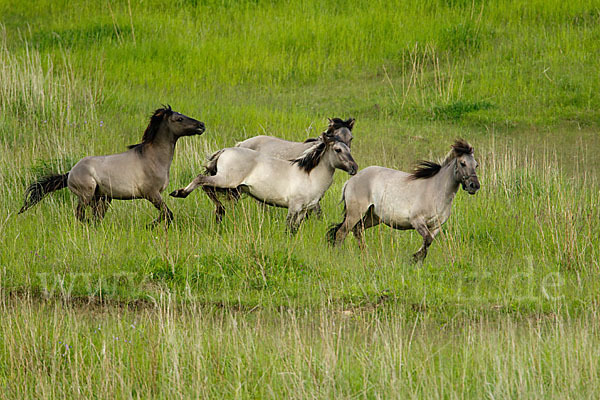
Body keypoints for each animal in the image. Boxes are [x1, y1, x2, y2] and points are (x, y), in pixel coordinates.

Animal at [18, 105, 206, 225]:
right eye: (179, 118)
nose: (202, 125)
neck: (153, 159)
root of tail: (70, 172)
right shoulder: (152, 194)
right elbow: (168, 214)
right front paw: (149, 226)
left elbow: (167, 214)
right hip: (86, 196)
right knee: (80, 215)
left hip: (102, 199)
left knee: (95, 217)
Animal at [169, 130, 356, 233]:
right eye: (338, 149)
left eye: (349, 147)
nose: (354, 167)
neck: (309, 176)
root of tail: (226, 150)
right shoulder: (294, 207)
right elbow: (288, 229)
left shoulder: (303, 211)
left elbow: (294, 230)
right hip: (226, 180)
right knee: (201, 179)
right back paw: (180, 193)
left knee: (206, 187)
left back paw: (219, 213)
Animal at [326, 139, 480, 260]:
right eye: (462, 163)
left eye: (476, 165)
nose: (474, 186)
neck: (436, 191)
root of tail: (350, 181)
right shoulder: (417, 221)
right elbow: (427, 240)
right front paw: (415, 259)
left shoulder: (436, 226)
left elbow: (427, 243)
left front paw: (417, 261)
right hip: (355, 213)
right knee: (341, 233)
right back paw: (337, 255)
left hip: (373, 216)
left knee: (357, 230)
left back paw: (366, 255)